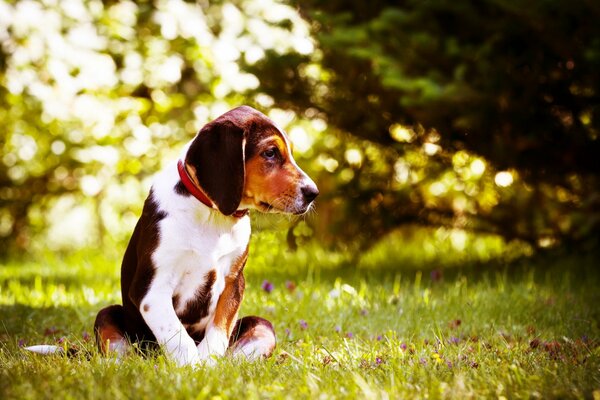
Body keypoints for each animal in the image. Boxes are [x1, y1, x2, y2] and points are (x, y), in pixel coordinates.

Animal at [28, 105, 318, 366]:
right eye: (270, 153)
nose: (313, 193)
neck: (212, 216)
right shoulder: (151, 288)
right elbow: (179, 337)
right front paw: (192, 370)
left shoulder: (234, 283)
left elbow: (217, 333)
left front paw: (208, 367)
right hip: (110, 316)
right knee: (121, 353)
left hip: (260, 324)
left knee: (246, 345)